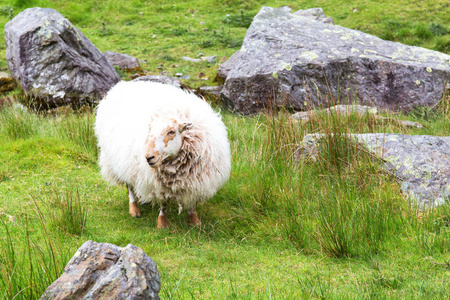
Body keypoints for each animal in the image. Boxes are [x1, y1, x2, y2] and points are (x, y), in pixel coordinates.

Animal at [93, 81, 230, 229]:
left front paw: (194, 221)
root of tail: (120, 85)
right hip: (120, 162)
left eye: (171, 132)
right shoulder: (158, 184)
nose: (149, 157)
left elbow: (192, 202)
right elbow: (163, 203)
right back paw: (134, 209)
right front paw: (162, 223)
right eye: (150, 131)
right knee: (129, 186)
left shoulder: (197, 180)